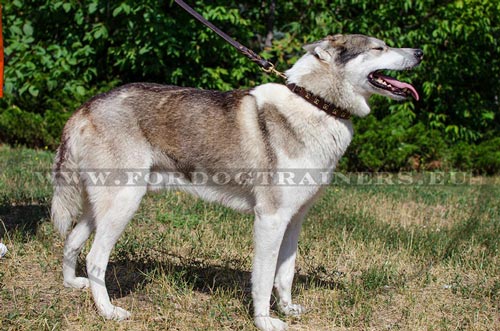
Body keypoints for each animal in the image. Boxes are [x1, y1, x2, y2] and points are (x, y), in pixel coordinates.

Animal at [51, 34, 422, 331]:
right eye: (379, 47)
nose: (420, 51)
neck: (316, 104)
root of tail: (85, 108)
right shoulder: (270, 220)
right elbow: (263, 279)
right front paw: (266, 321)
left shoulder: (294, 221)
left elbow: (285, 274)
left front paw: (288, 309)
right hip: (123, 205)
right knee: (95, 258)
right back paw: (108, 312)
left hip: (101, 208)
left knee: (71, 242)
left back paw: (71, 285)